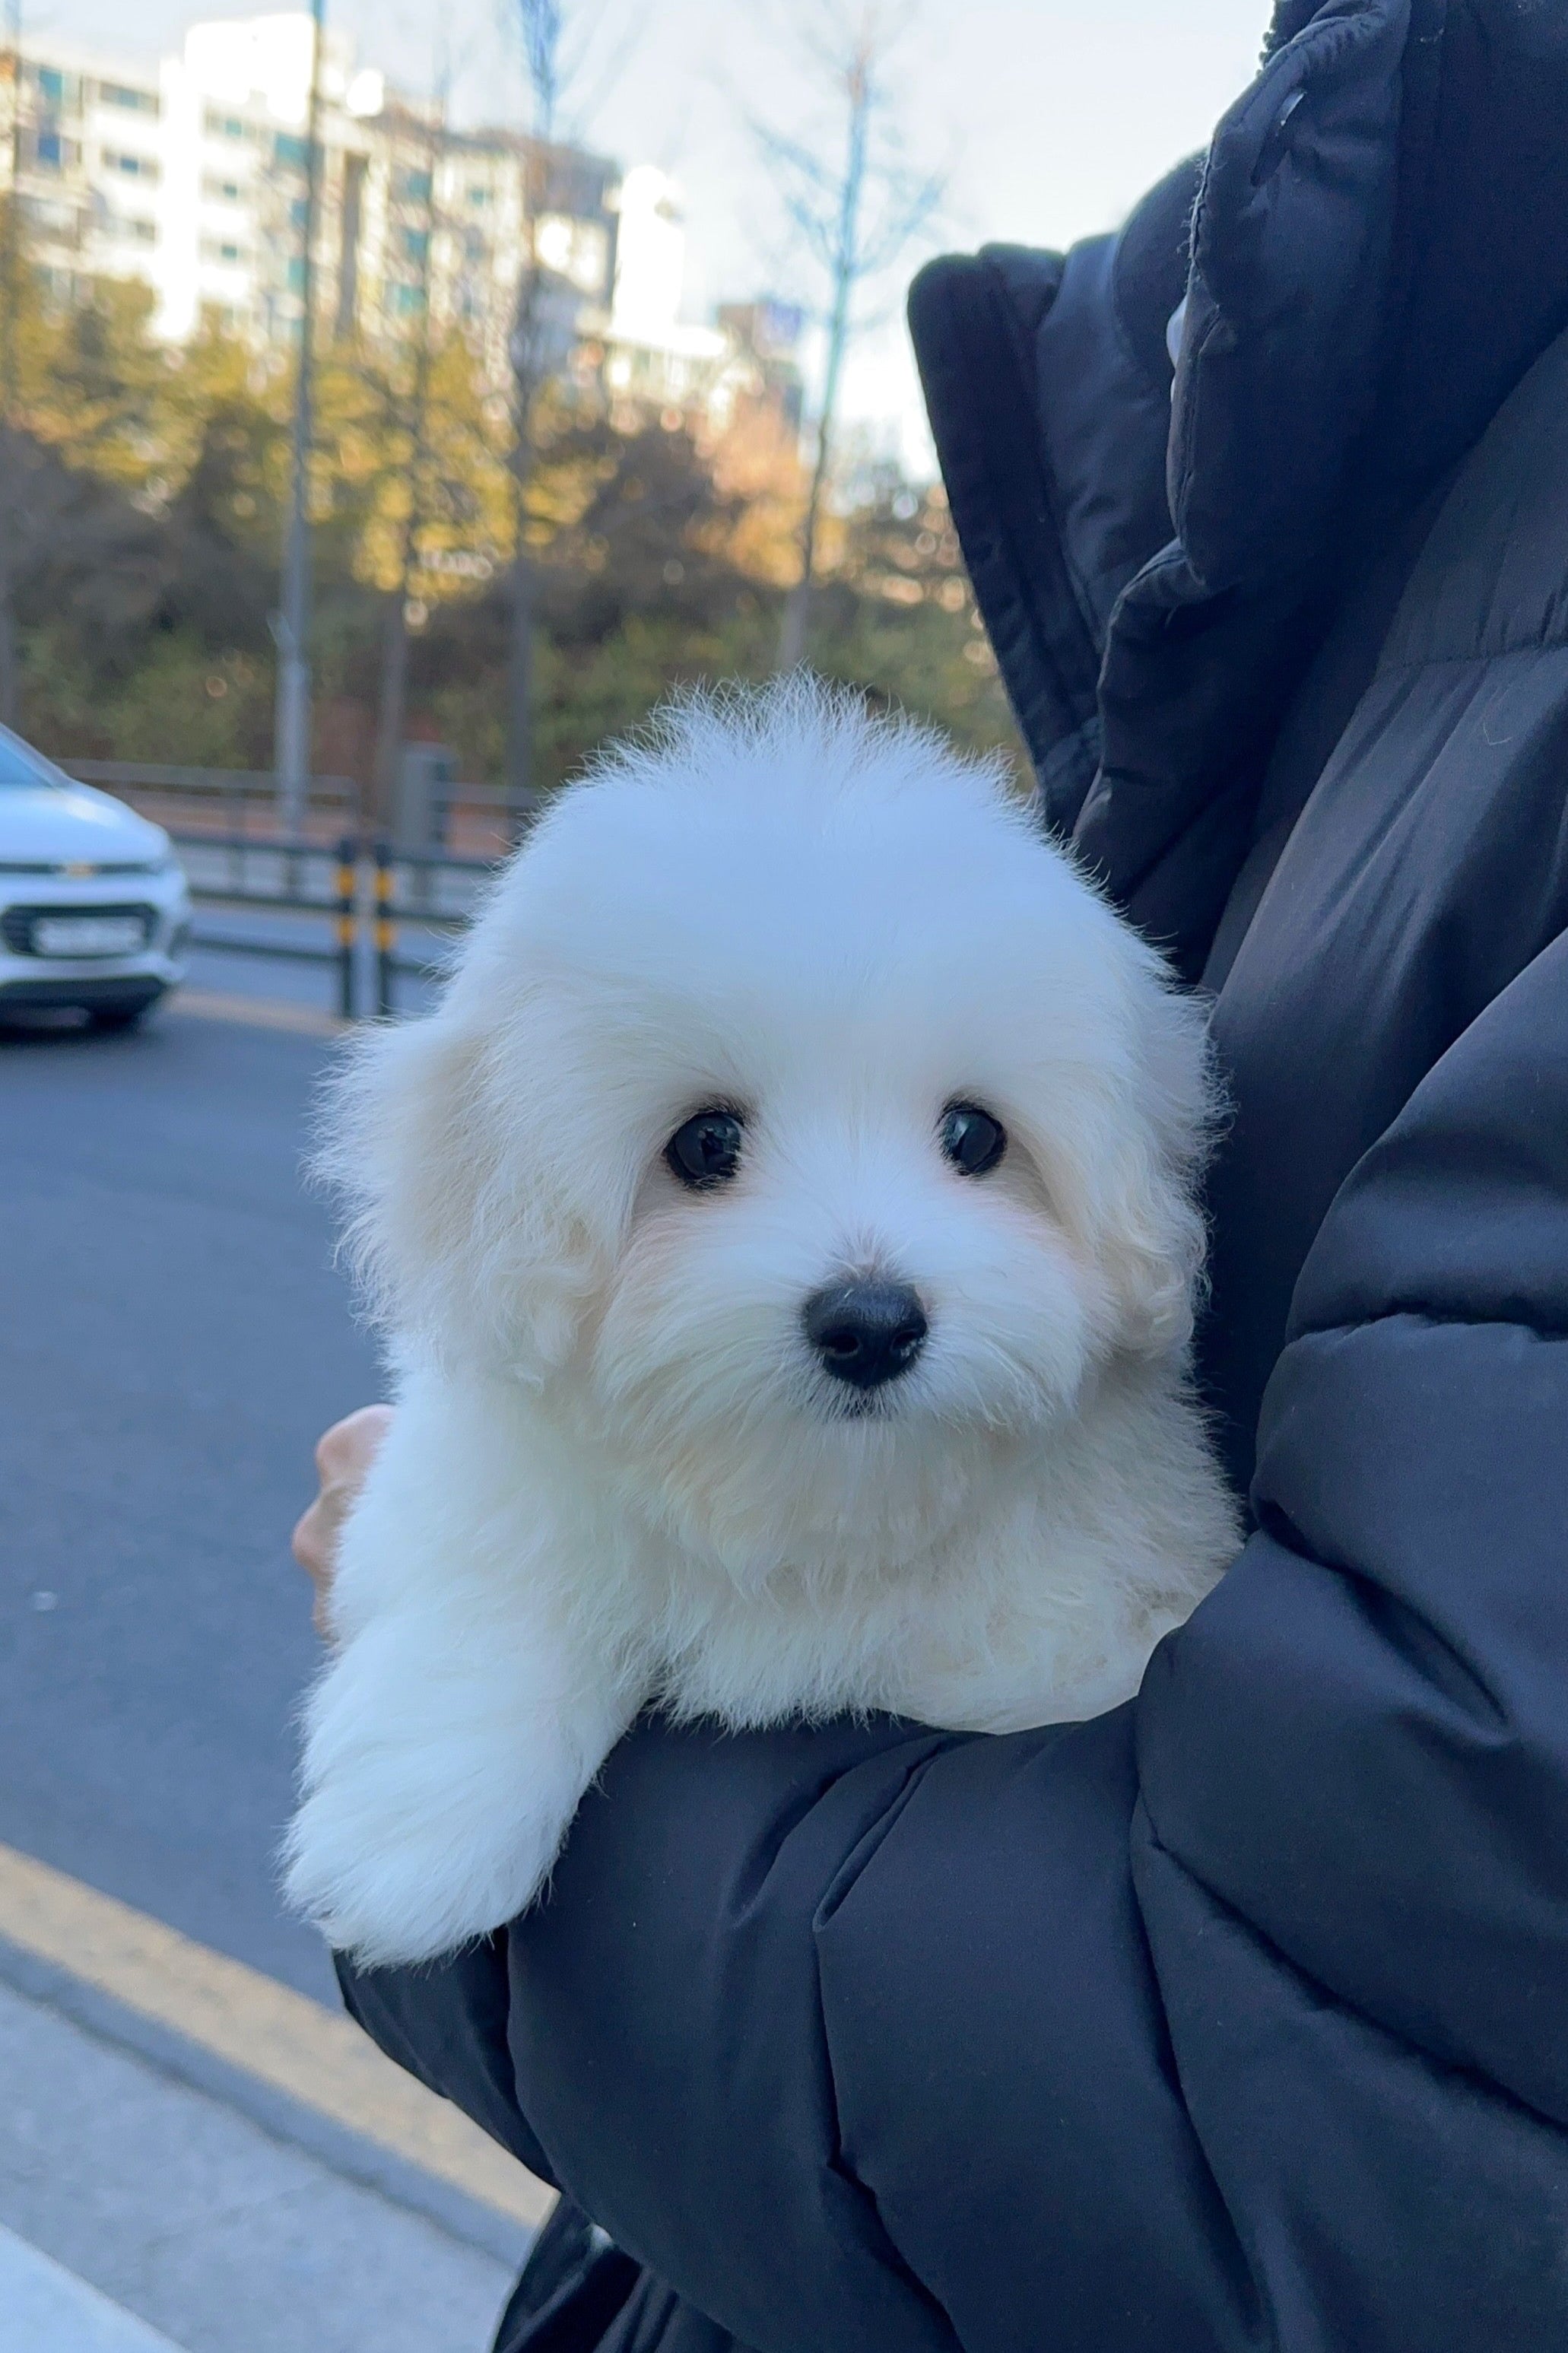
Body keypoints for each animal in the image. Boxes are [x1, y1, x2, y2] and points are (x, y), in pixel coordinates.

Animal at [281, 682, 1233, 1967]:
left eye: (974, 1136)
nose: (872, 1322)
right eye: (704, 1144)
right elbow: (498, 1579)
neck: (817, 1504)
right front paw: (414, 1842)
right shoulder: (487, 1467)